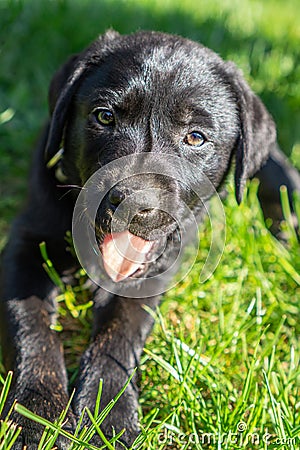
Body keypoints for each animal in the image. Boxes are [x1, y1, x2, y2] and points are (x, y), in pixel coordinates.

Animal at [0, 29, 300, 448]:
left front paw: (107, 418)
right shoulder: (25, 243)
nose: (133, 203)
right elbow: (28, 325)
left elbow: (120, 337)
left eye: (195, 138)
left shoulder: (154, 270)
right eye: (104, 116)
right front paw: (36, 415)